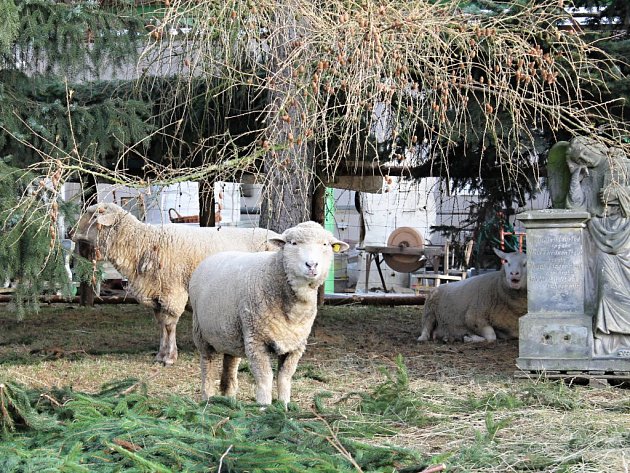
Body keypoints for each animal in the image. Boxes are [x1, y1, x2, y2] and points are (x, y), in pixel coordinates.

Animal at [71, 202, 278, 366]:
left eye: (92, 214)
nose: (70, 232)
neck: (143, 243)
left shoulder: (173, 292)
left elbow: (169, 325)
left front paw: (169, 357)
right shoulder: (157, 295)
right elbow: (161, 325)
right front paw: (160, 355)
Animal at [193, 219, 350, 404]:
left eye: (325, 244)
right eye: (293, 243)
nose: (312, 265)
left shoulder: (296, 345)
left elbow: (284, 378)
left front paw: (284, 407)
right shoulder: (256, 340)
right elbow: (265, 379)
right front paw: (264, 407)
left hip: (231, 333)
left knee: (230, 361)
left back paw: (229, 399)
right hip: (201, 332)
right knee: (207, 365)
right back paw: (207, 398)